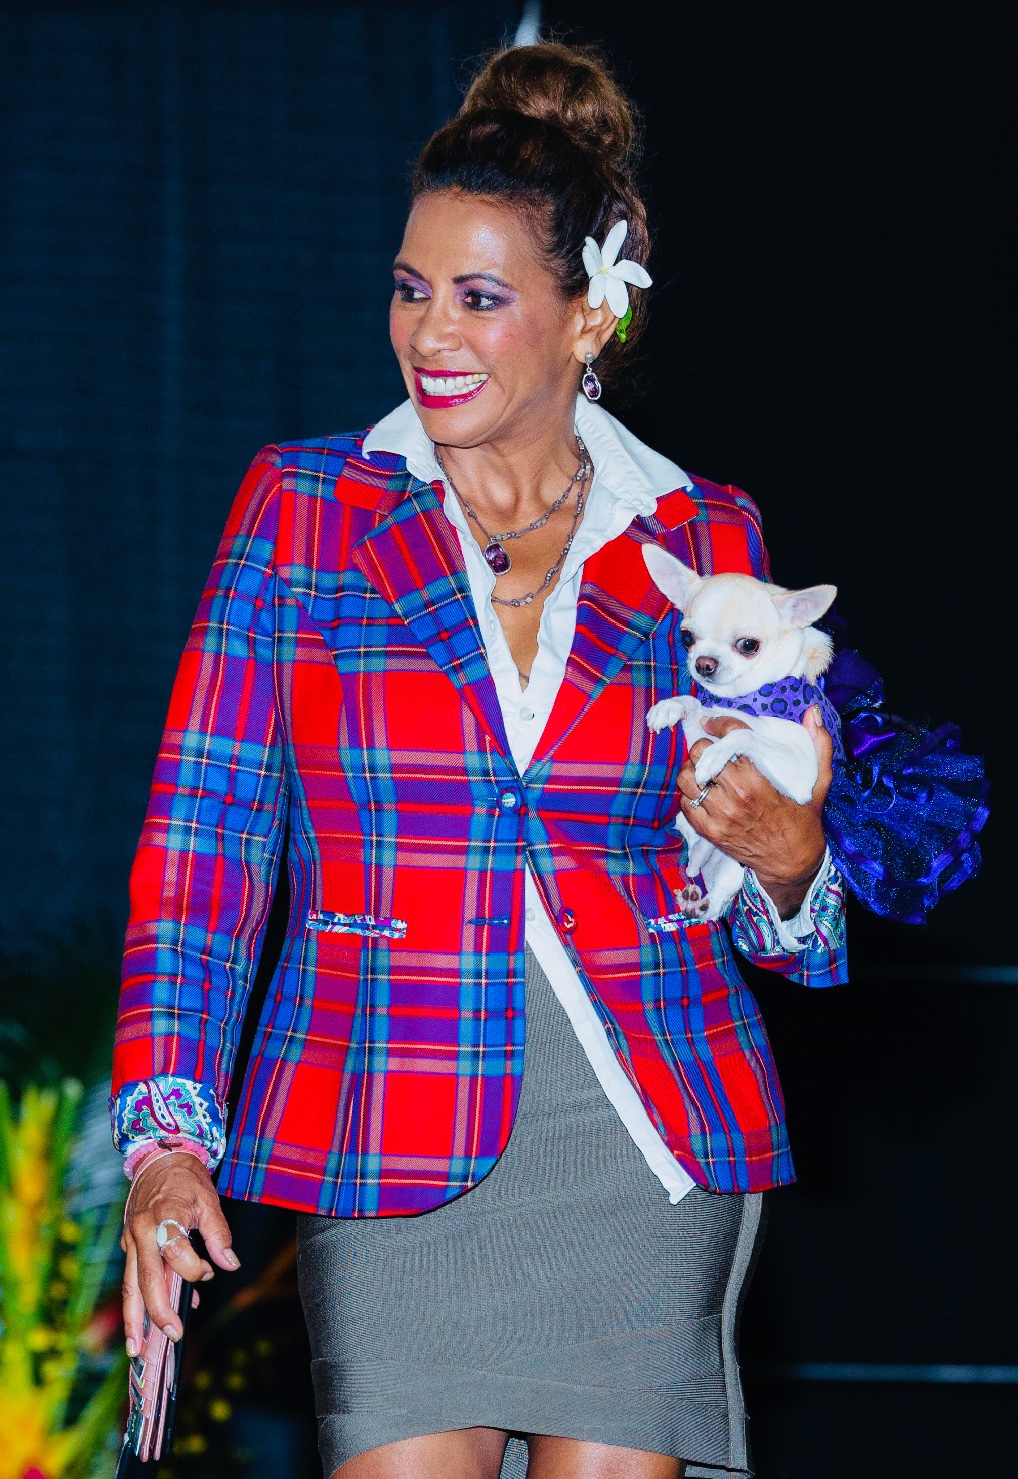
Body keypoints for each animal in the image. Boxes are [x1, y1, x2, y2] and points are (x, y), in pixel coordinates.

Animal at [643, 544, 837, 920]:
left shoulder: (801, 775)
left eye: (748, 645)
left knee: (718, 902)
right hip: (689, 826)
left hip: (737, 867)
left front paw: (716, 756)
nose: (703, 663)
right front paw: (670, 706)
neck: (742, 700)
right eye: (687, 637)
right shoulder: (702, 725)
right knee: (693, 852)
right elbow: (695, 702)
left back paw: (700, 904)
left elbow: (745, 735)